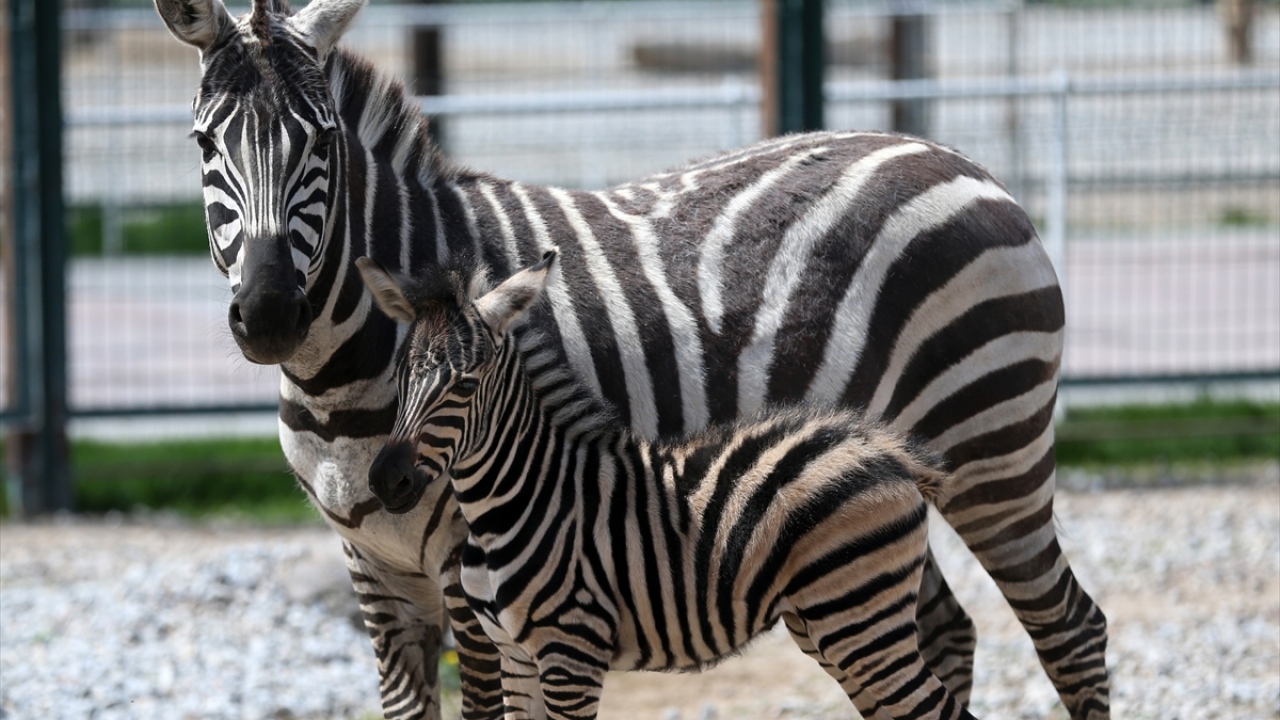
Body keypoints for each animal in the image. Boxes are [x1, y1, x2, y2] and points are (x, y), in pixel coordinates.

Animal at [360, 249, 978, 720]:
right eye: (401, 377)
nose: (386, 481)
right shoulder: (515, 657)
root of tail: (887, 450)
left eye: (464, 385)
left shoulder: (571, 652)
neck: (512, 505)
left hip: (860, 619)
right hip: (831, 624)